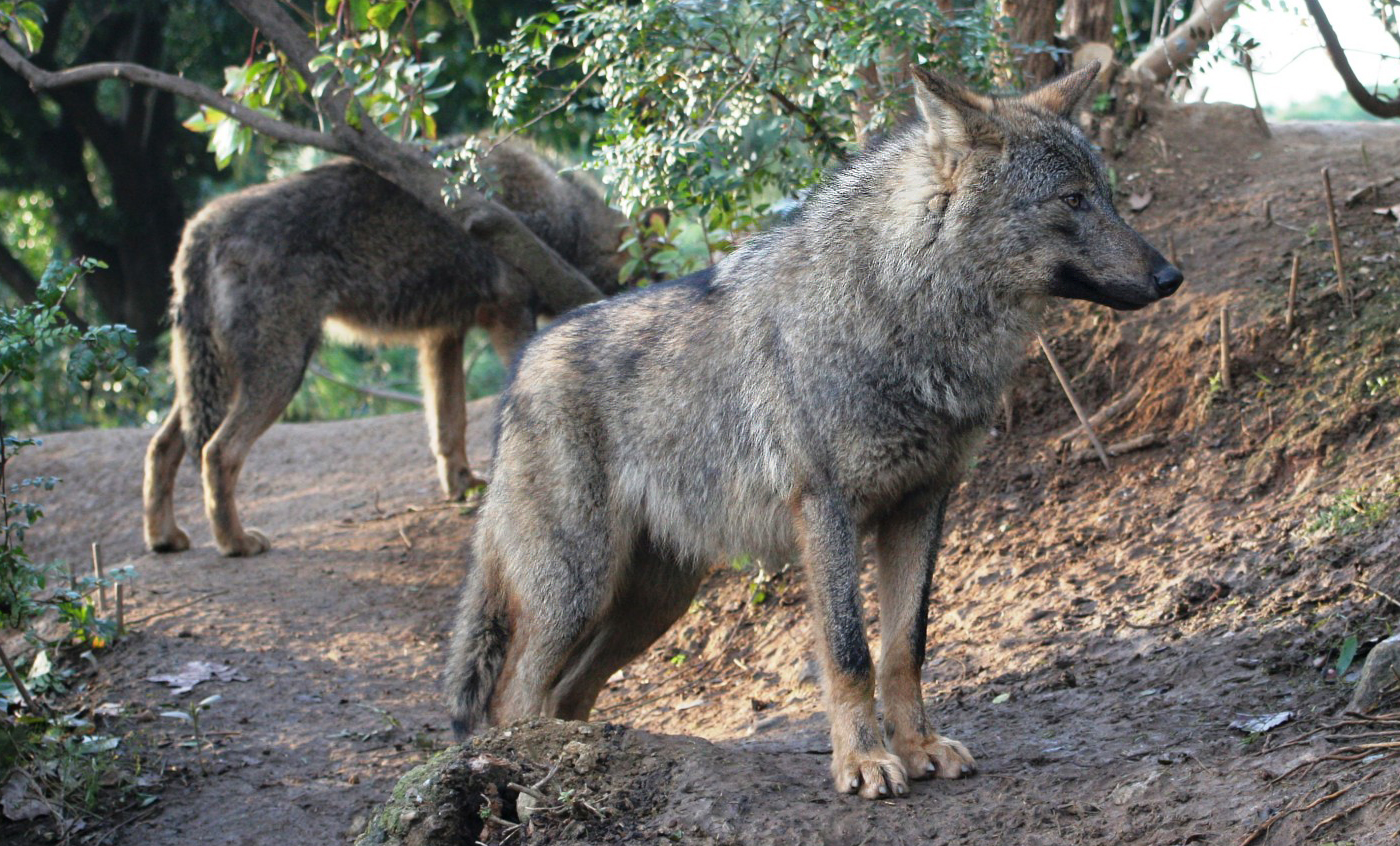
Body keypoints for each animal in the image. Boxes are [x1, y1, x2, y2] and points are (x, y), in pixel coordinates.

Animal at [140, 142, 624, 557]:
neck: (563, 216)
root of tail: (201, 224)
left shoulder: (442, 335)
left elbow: (448, 424)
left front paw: (462, 487)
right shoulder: (506, 315)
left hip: (215, 382)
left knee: (162, 447)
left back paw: (164, 537)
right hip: (279, 373)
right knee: (217, 452)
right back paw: (235, 543)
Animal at [445, 62, 1181, 795]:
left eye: (1108, 196)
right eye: (1073, 199)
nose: (1171, 275)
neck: (902, 314)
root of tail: (520, 372)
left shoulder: (923, 505)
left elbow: (906, 647)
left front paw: (919, 747)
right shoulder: (827, 510)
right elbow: (851, 655)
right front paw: (863, 762)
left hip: (650, 603)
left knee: (567, 693)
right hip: (578, 591)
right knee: (514, 697)